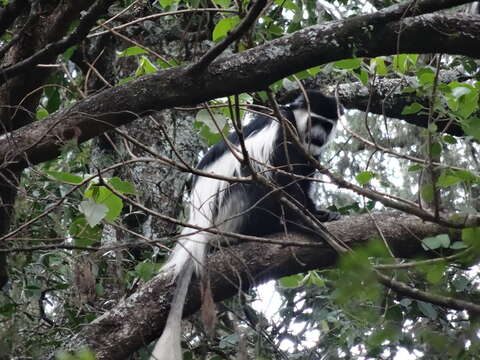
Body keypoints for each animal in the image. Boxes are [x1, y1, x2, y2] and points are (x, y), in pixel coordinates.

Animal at [150, 90, 342, 360]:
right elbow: (281, 175)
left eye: (327, 124)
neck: (297, 124)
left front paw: (320, 214)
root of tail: (201, 233)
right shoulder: (284, 129)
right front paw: (310, 221)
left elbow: (302, 177)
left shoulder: (311, 154)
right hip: (233, 211)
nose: (319, 136)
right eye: (315, 120)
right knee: (259, 180)